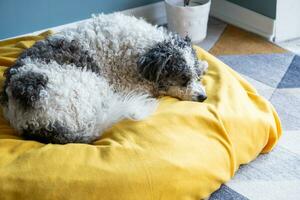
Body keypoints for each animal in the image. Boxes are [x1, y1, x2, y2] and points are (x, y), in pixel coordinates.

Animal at [0, 12, 209, 144]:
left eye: (196, 77)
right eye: (183, 79)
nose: (203, 97)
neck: (142, 49)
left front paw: (204, 65)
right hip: (92, 87)